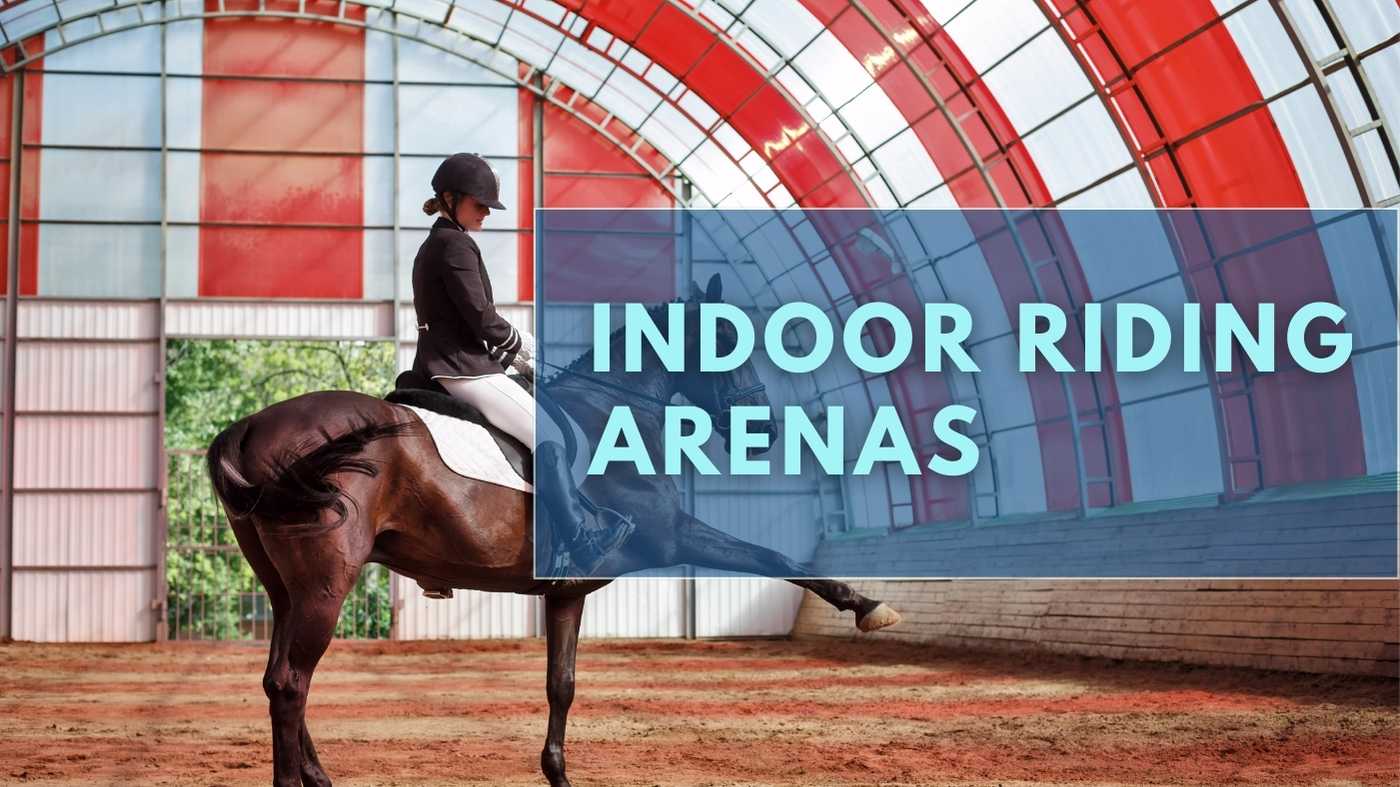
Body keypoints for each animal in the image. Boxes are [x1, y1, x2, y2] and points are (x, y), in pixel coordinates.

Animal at [210, 275, 907, 784]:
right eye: (722, 341)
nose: (764, 430)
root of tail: (249, 427)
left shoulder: (567, 591)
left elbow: (561, 685)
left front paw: (558, 774)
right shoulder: (671, 534)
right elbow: (771, 556)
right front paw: (868, 606)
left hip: (285, 589)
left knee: (278, 678)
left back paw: (319, 776)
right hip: (326, 584)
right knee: (292, 682)